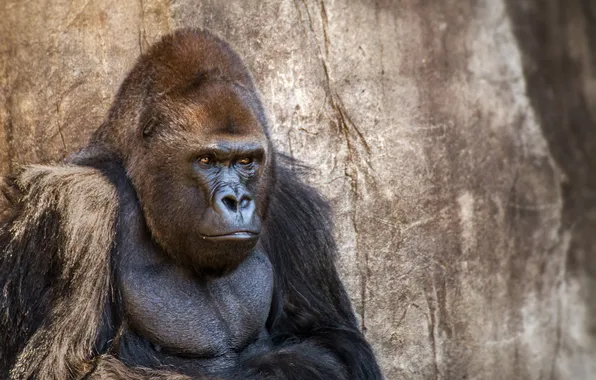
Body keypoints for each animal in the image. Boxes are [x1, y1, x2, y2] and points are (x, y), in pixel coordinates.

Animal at [0, 29, 382, 380]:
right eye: (207, 160)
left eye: (246, 161)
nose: (237, 200)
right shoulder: (79, 204)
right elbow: (64, 367)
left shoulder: (291, 204)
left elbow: (332, 339)